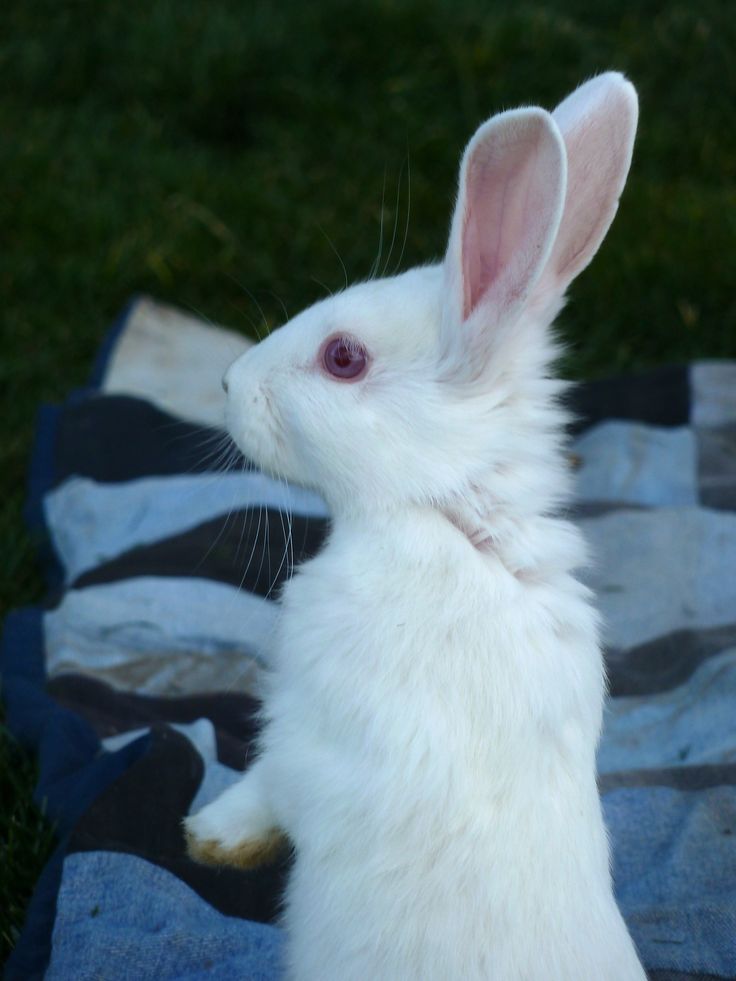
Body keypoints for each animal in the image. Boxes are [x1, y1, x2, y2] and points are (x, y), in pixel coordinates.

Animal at [184, 72, 644, 976]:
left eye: (343, 358)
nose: (228, 381)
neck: (452, 518)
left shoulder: (305, 728)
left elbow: (265, 783)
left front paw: (208, 835)